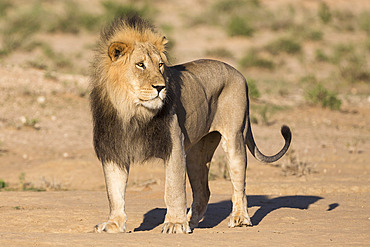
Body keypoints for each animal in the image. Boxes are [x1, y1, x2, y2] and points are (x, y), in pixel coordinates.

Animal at [90, 15, 292, 233]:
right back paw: (191, 221)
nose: (161, 87)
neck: (132, 112)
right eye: (140, 65)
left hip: (234, 137)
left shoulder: (174, 146)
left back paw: (239, 218)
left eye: (160, 65)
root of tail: (238, 72)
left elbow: (174, 188)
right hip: (197, 153)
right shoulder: (114, 151)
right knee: (204, 191)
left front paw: (175, 224)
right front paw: (114, 224)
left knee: (239, 183)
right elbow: (114, 192)